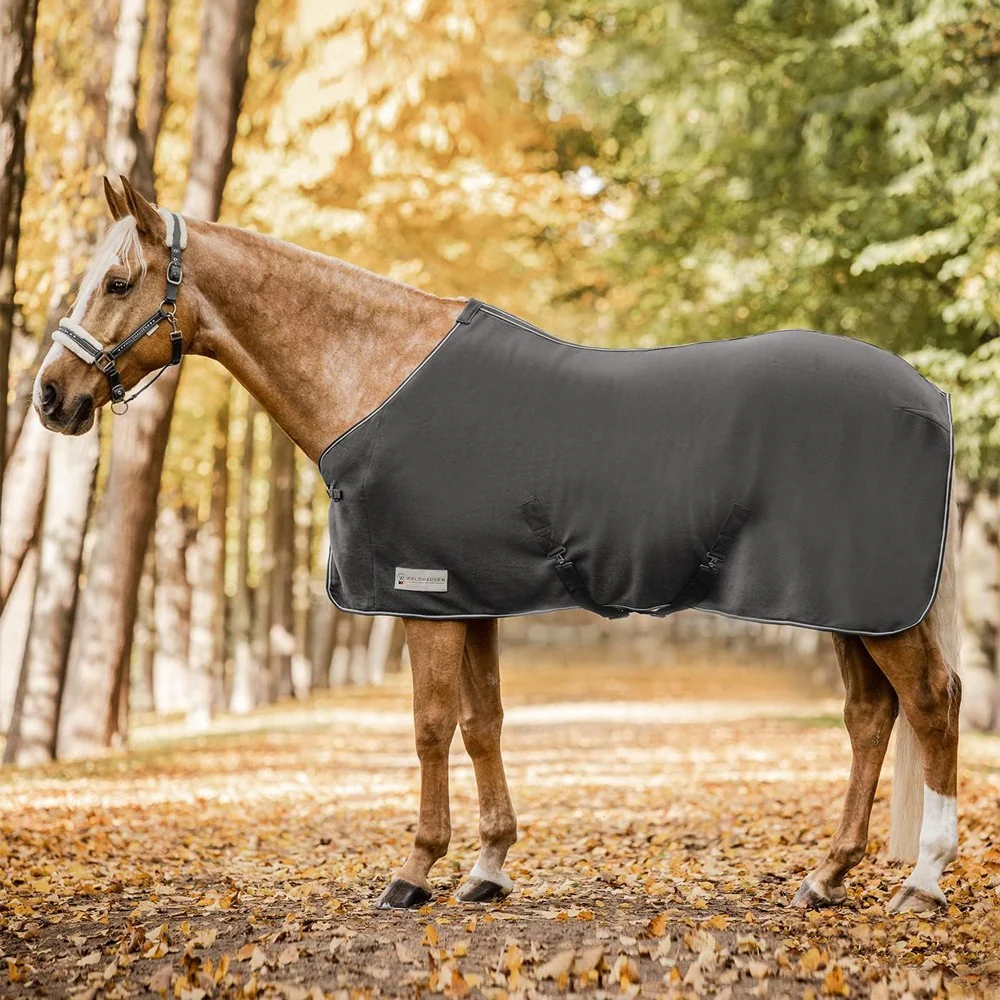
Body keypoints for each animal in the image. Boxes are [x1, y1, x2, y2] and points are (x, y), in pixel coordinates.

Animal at [33, 175, 961, 914]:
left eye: (118, 281)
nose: (50, 397)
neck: (377, 375)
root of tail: (930, 395)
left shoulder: (422, 594)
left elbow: (430, 726)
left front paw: (414, 872)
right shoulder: (469, 595)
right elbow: (484, 724)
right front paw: (488, 869)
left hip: (873, 605)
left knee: (931, 702)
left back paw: (922, 883)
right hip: (850, 606)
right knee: (870, 716)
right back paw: (827, 877)